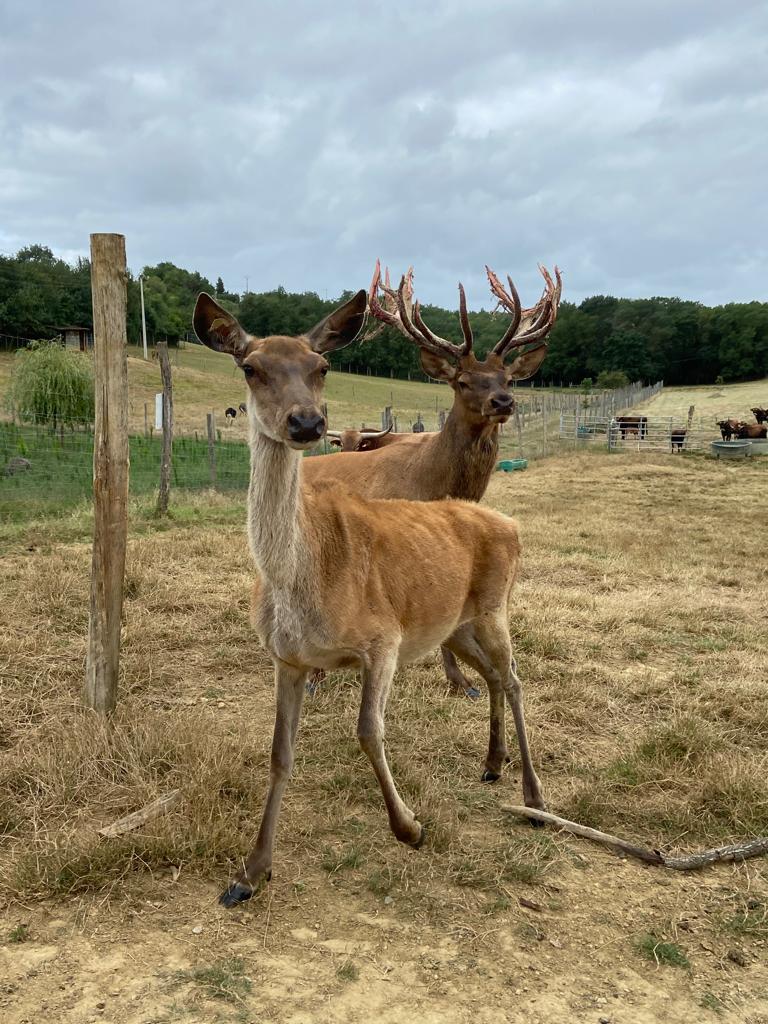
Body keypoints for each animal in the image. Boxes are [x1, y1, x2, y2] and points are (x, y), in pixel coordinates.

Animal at [193, 288, 548, 905]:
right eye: (250, 367)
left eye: (322, 366)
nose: (307, 421)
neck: (302, 581)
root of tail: (508, 522)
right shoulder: (287, 656)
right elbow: (279, 753)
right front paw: (250, 873)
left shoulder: (384, 639)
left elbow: (367, 730)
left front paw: (409, 826)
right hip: (454, 623)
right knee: (491, 677)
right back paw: (491, 764)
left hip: (495, 605)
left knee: (515, 678)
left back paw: (533, 795)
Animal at [303, 260, 561, 700]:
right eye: (462, 380)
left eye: (508, 379)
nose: (503, 402)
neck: (435, 482)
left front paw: (462, 682)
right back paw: (314, 674)